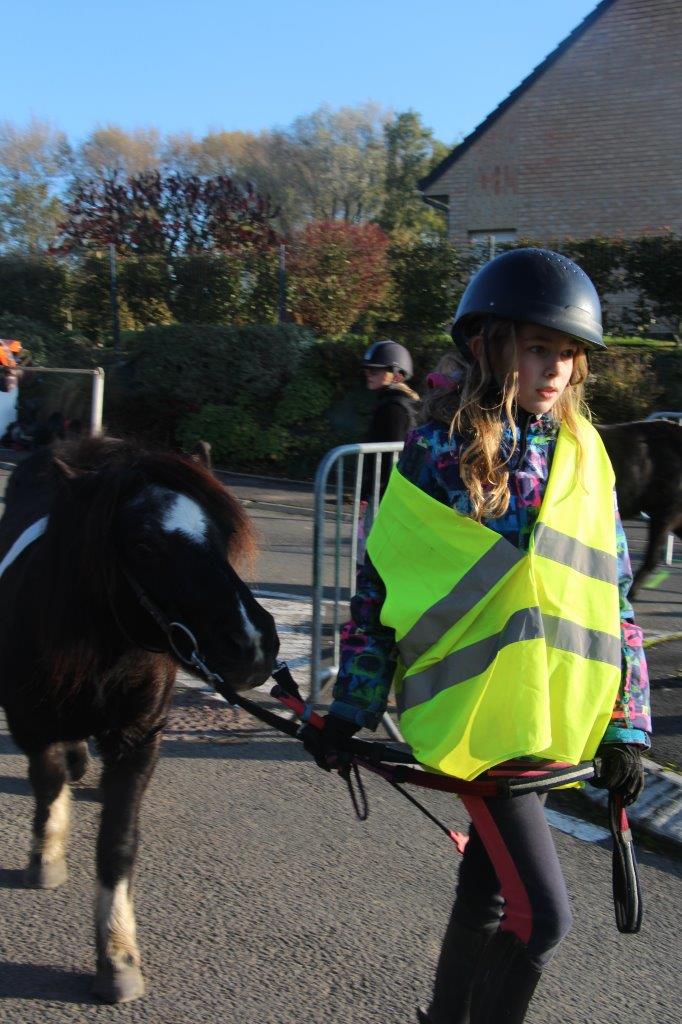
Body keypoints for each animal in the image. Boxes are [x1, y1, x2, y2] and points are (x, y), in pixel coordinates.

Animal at [0, 436, 278, 1003]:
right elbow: (47, 782)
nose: (254, 646)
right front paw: (47, 856)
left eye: (222, 536)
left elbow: (119, 844)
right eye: (145, 545)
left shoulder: (138, 740)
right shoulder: (29, 723)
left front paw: (117, 955)